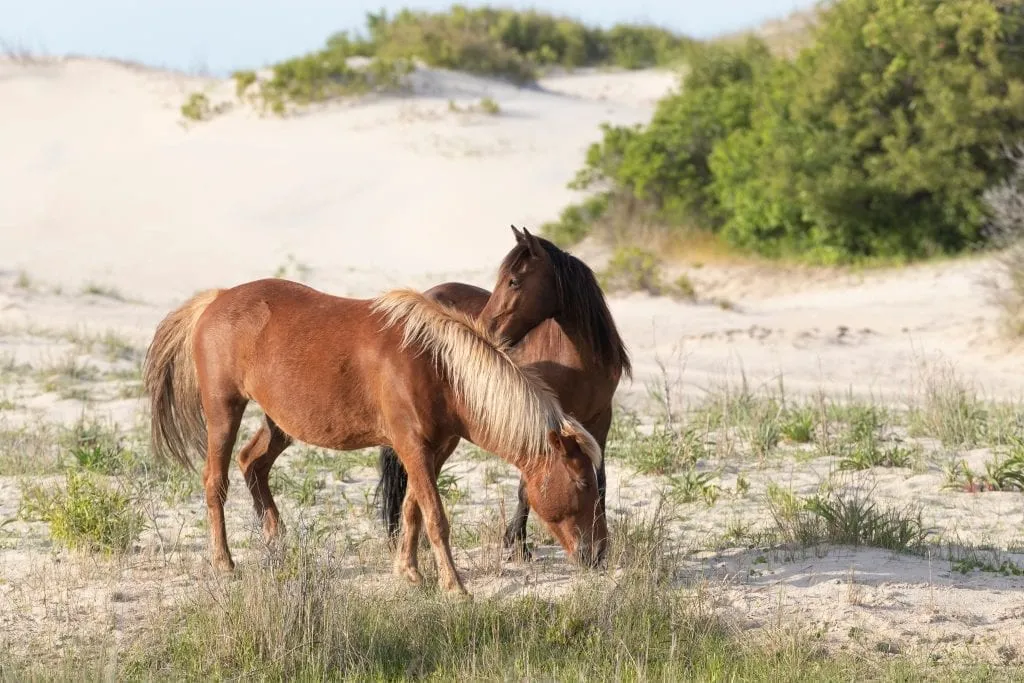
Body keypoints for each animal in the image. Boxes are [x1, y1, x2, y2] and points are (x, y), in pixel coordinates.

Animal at [144, 276, 606, 593]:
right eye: (583, 483)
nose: (598, 555)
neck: (437, 367)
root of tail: (217, 297)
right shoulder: (411, 447)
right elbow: (435, 517)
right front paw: (454, 586)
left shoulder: (434, 451)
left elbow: (412, 509)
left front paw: (410, 571)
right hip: (224, 412)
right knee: (215, 481)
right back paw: (224, 562)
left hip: (280, 423)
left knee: (252, 464)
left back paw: (277, 543)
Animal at [378, 227, 630, 557]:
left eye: (514, 281)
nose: (483, 330)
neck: (578, 362)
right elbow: (526, 487)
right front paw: (517, 543)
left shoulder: (600, 421)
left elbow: (599, 482)